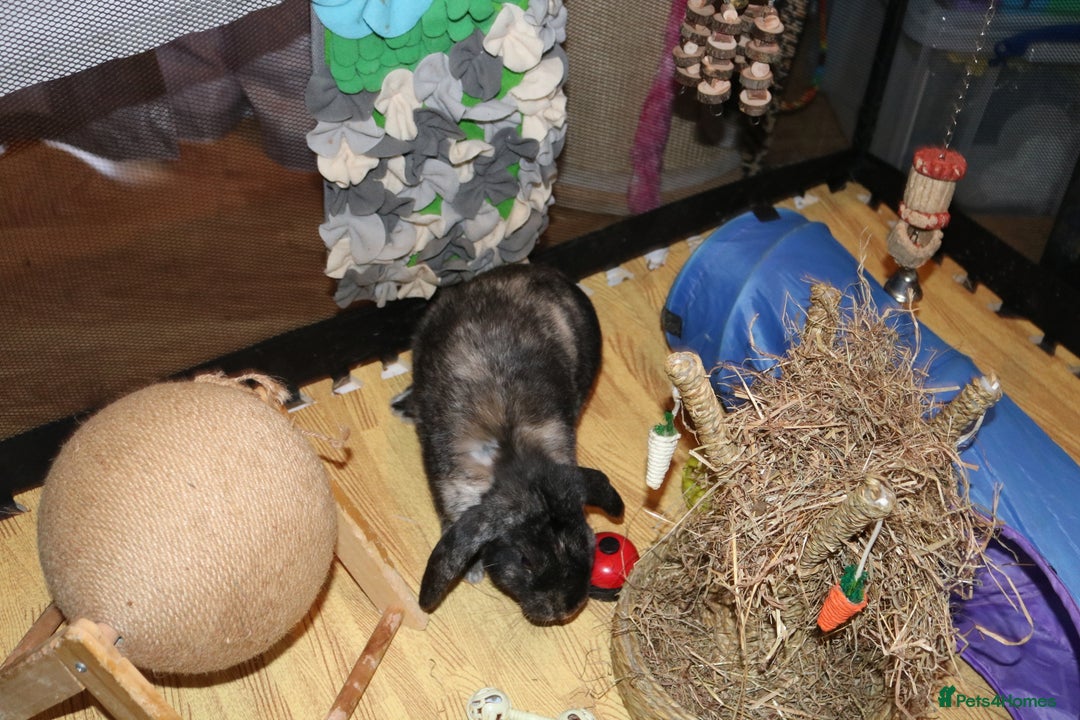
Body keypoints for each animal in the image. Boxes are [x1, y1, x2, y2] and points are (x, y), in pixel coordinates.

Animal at [393, 262, 624, 625]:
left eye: (588, 538)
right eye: (524, 561)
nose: (566, 609)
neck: (513, 454)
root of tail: (541, 270)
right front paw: (471, 571)